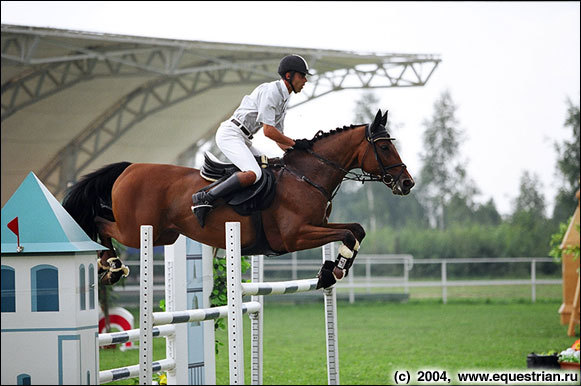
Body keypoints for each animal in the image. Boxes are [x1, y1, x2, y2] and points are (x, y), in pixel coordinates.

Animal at [62, 110, 412, 288]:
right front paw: (333, 270)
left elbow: (356, 230)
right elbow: (348, 233)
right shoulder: (296, 235)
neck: (306, 175)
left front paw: (333, 270)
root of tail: (129, 167)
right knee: (100, 223)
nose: (407, 183)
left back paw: (109, 267)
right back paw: (112, 266)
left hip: (164, 234)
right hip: (137, 231)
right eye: (384, 147)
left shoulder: (318, 225)